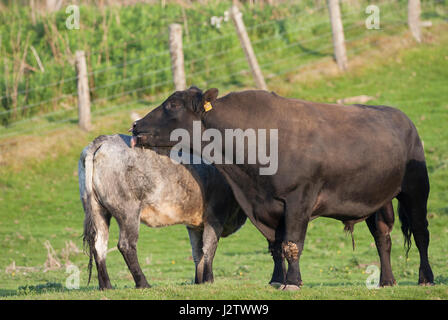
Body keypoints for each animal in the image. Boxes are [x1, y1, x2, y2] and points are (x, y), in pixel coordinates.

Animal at [77, 134, 245, 288]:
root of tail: (105, 139)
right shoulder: (215, 217)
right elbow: (209, 248)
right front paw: (209, 280)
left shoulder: (195, 225)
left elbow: (198, 253)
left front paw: (199, 282)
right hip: (128, 212)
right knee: (126, 244)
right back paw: (143, 283)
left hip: (97, 210)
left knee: (99, 245)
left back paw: (106, 286)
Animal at [130, 87, 434, 290]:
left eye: (172, 104)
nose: (135, 125)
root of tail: (400, 116)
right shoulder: (262, 206)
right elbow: (275, 246)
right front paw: (276, 280)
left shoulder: (299, 199)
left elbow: (292, 244)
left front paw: (293, 282)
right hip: (378, 199)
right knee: (383, 237)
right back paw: (387, 281)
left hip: (416, 190)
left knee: (421, 234)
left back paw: (425, 278)